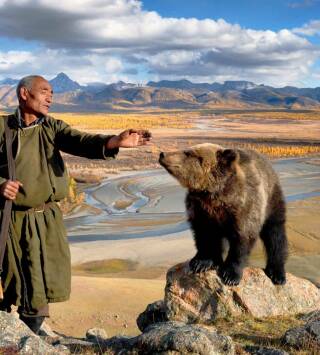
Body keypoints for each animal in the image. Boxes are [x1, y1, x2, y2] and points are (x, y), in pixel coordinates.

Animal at [159, 144, 288, 286]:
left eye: (188, 153)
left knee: (275, 234)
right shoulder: (200, 209)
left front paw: (230, 275)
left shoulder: (244, 206)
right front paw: (201, 262)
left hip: (272, 200)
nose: (162, 154)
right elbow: (204, 235)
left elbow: (242, 238)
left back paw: (277, 273)